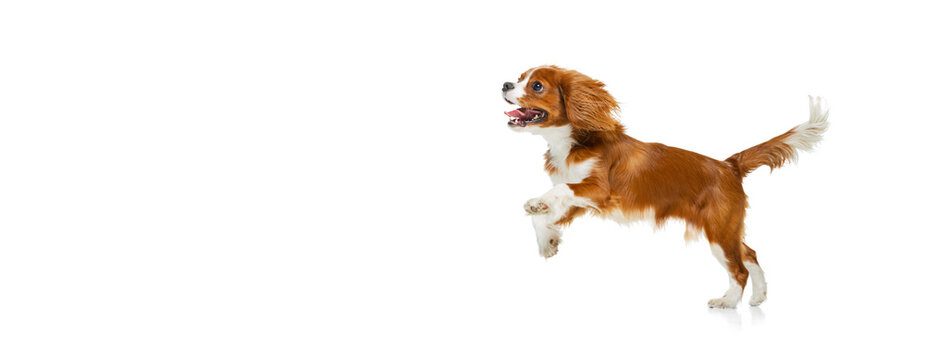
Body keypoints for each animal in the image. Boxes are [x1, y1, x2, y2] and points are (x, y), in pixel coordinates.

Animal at [502, 66, 828, 308]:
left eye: (537, 86)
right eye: (519, 77)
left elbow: (555, 194)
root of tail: (729, 165)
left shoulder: (599, 191)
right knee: (750, 253)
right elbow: (545, 215)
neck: (571, 141)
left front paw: (535, 205)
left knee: (740, 269)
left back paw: (728, 302)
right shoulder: (581, 202)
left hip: (719, 231)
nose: (505, 84)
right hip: (728, 229)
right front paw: (548, 240)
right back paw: (759, 296)